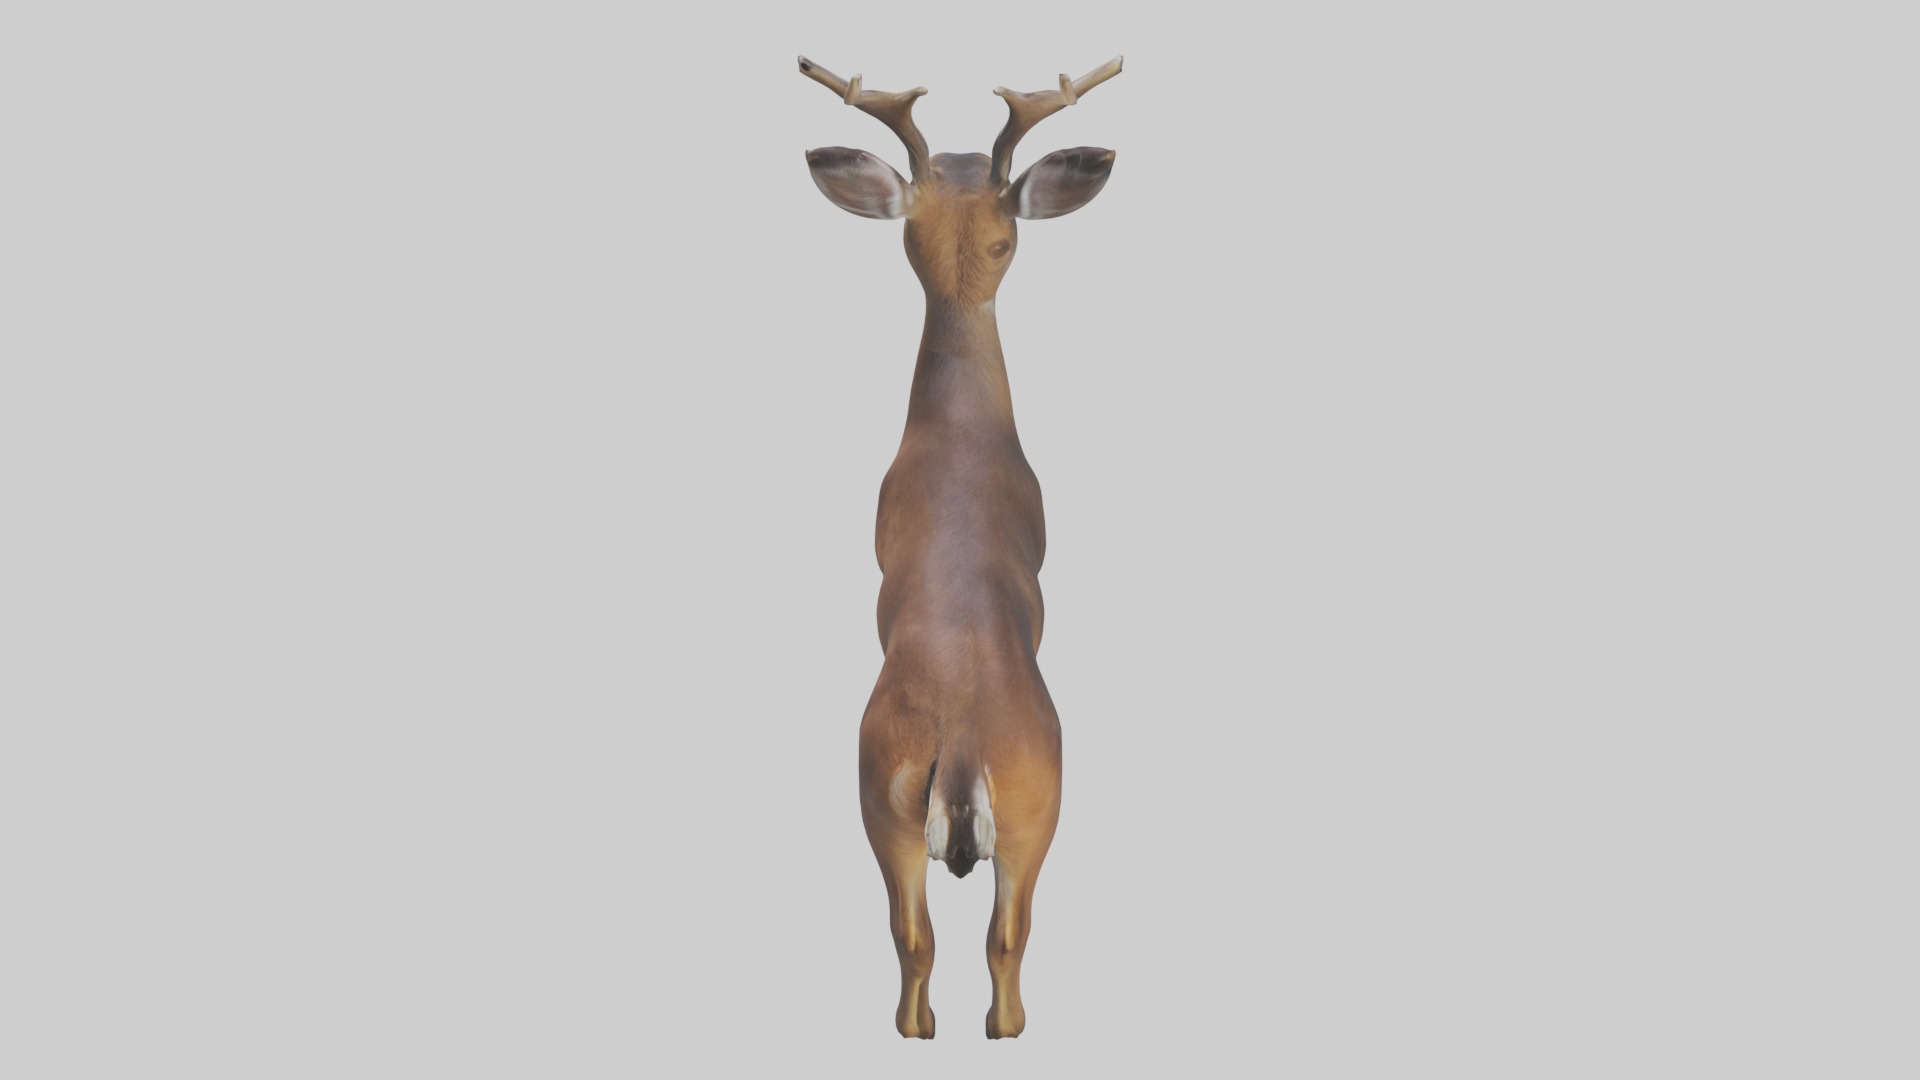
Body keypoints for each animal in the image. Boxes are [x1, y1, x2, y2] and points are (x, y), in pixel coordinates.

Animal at [797, 54, 1124, 1039]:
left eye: (1000, 236)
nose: (962, 158)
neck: (959, 433)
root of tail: (970, 746)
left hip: (882, 802)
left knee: (917, 940)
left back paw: (924, 1032)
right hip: (1036, 806)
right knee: (1004, 941)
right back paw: (1000, 1032)